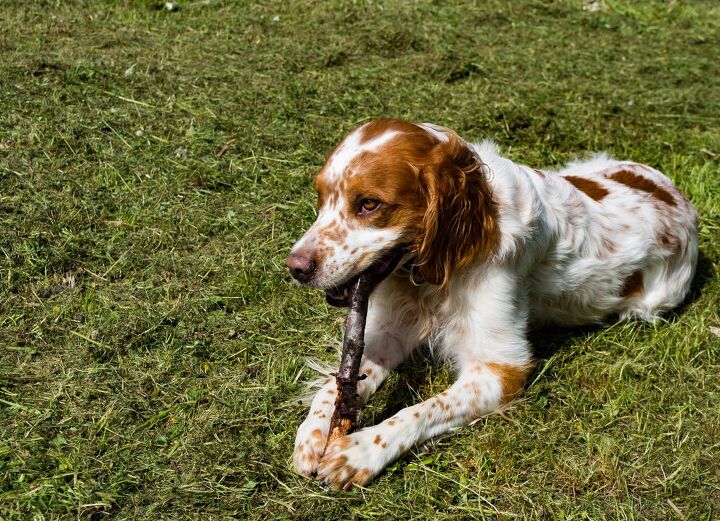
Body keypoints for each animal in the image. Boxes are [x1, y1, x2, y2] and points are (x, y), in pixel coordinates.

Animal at [286, 118, 696, 488]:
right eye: (321, 199)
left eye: (369, 204)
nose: (295, 268)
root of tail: (677, 194)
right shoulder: (388, 331)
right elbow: (338, 383)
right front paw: (314, 432)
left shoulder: (502, 367)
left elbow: (421, 410)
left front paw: (360, 452)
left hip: (655, 302)